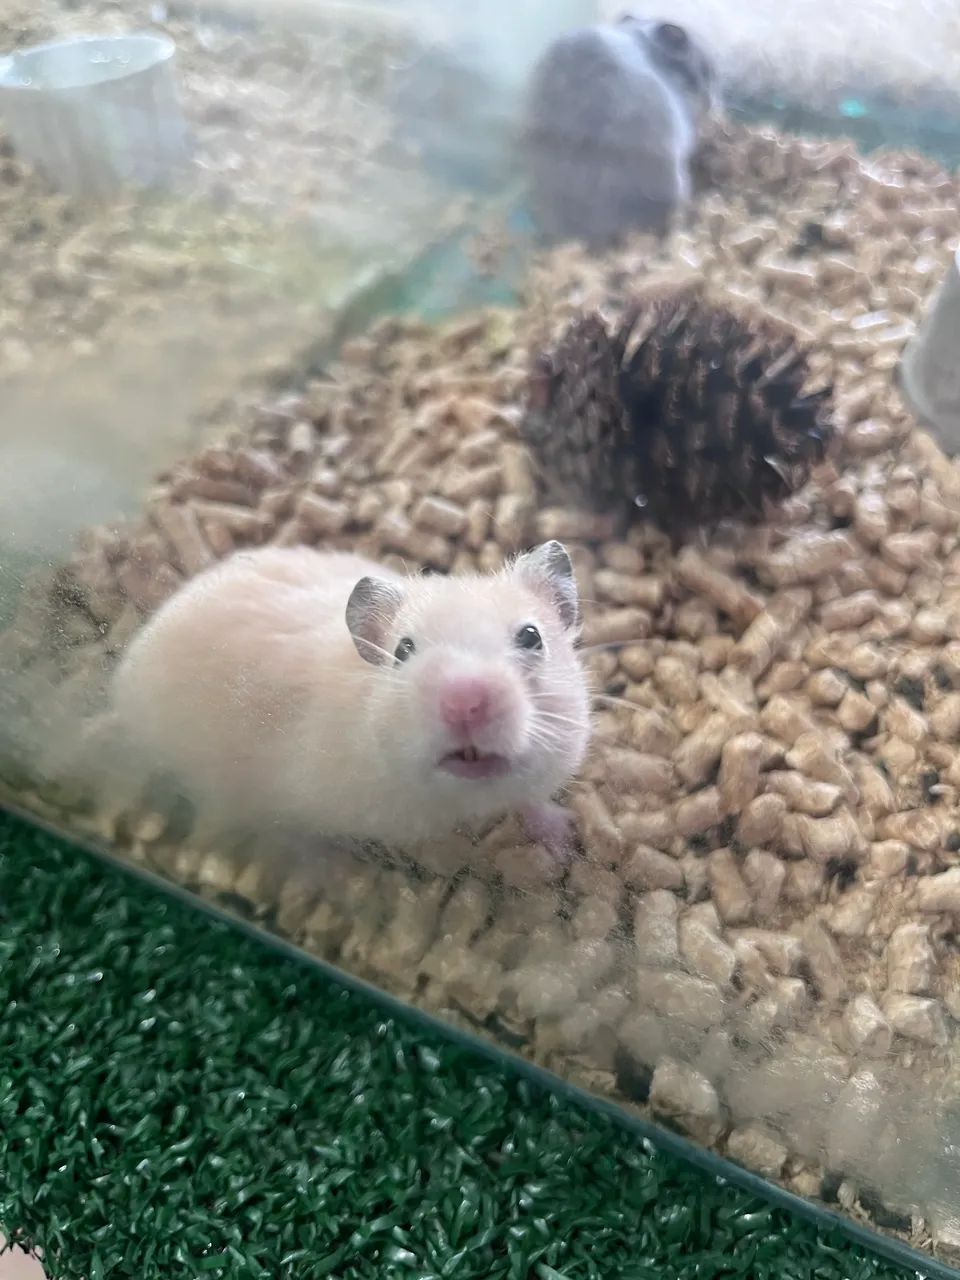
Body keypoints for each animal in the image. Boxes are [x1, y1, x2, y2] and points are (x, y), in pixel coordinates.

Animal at [107, 541, 591, 855]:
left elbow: (531, 802)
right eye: (403, 650)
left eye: (531, 636)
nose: (464, 703)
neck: (463, 796)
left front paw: (566, 840)